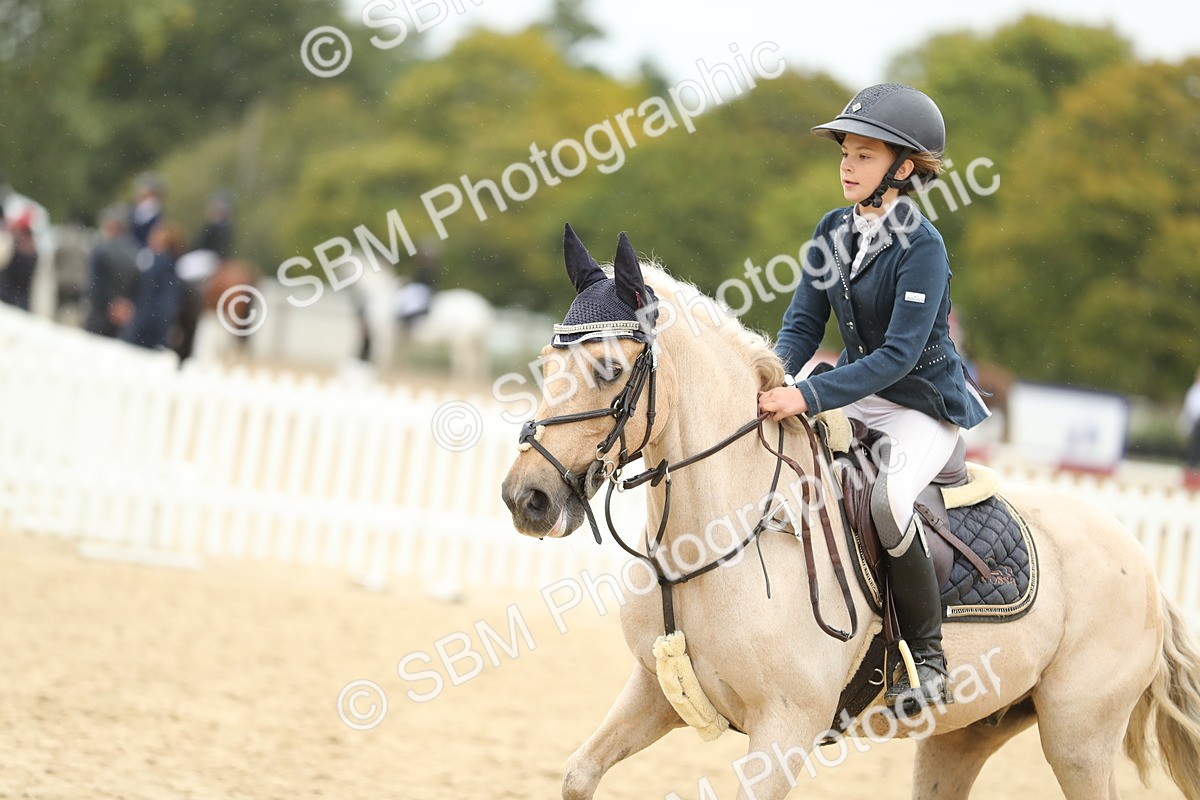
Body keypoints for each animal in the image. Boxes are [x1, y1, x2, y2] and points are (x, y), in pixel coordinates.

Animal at [500, 226, 1200, 800]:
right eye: (547, 363)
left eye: (608, 368)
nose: (526, 499)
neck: (715, 538)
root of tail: (1142, 564)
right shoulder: (655, 691)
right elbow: (578, 775)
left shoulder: (785, 729)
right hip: (970, 730)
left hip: (1077, 738)